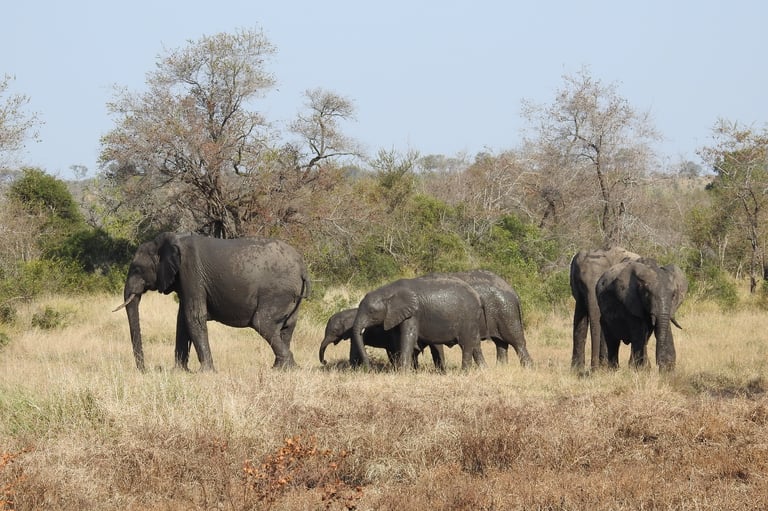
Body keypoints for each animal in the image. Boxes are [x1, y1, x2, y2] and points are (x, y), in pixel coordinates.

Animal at [113, 232, 310, 371]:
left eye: (137, 269)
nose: (144, 370)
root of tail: (302, 267)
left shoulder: (190, 271)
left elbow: (193, 317)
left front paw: (205, 372)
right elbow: (182, 320)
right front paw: (179, 372)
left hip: (278, 291)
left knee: (263, 323)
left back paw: (289, 367)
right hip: (291, 297)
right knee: (287, 327)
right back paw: (280, 369)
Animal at [351, 275, 486, 370]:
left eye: (371, 311)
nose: (368, 369)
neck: (389, 292)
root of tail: (478, 297)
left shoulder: (413, 313)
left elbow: (409, 337)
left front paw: (403, 373)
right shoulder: (397, 316)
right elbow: (398, 339)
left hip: (468, 318)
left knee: (466, 344)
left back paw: (464, 372)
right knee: (476, 344)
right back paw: (483, 370)